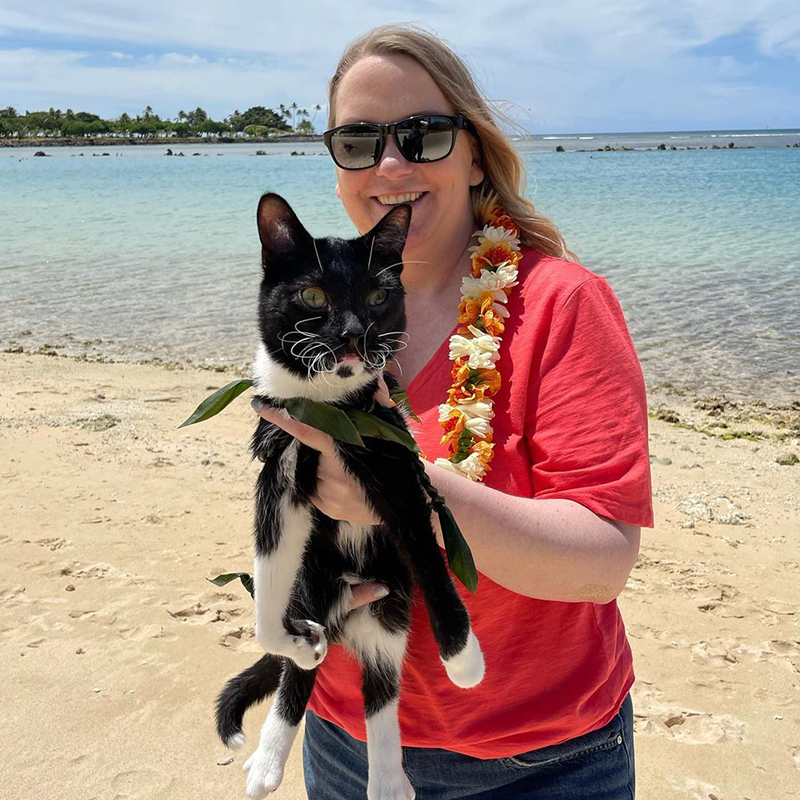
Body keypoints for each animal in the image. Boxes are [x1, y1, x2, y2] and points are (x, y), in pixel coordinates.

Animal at [216, 194, 484, 800]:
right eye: (314, 296)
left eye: (378, 296)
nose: (354, 334)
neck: (328, 408)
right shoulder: (280, 460)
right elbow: (267, 597)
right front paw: (291, 642)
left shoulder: (396, 467)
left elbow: (430, 556)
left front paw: (462, 658)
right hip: (315, 578)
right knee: (300, 675)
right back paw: (269, 757)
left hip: (390, 601)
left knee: (382, 686)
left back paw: (386, 778)